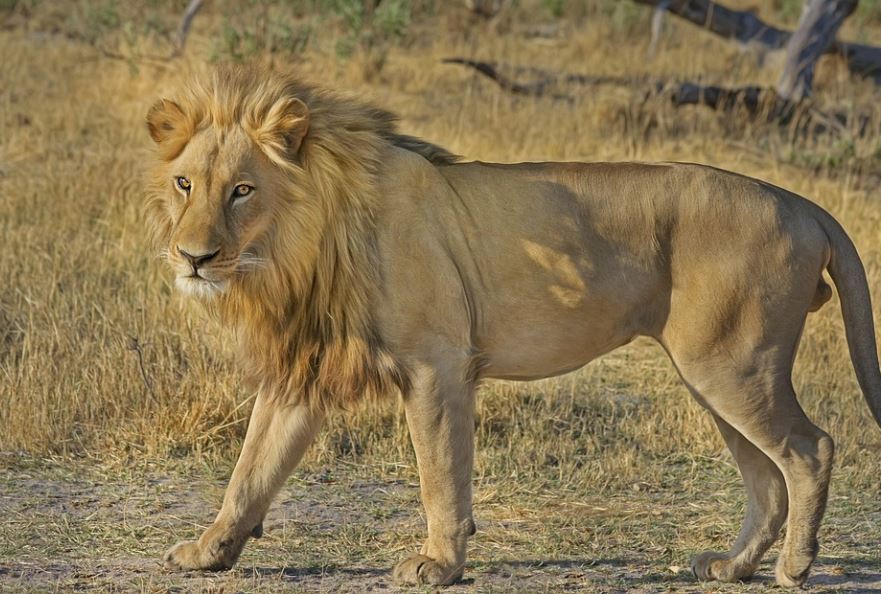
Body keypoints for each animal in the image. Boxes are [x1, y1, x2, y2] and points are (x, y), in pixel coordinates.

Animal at [145, 65, 881, 588]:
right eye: (185, 185)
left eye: (242, 190)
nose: (193, 257)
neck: (299, 247)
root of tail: (800, 202)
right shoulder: (303, 371)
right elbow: (251, 470)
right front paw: (208, 552)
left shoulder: (435, 364)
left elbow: (440, 473)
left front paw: (438, 565)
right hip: (715, 374)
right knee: (766, 478)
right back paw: (733, 568)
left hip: (732, 364)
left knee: (810, 449)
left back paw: (793, 568)